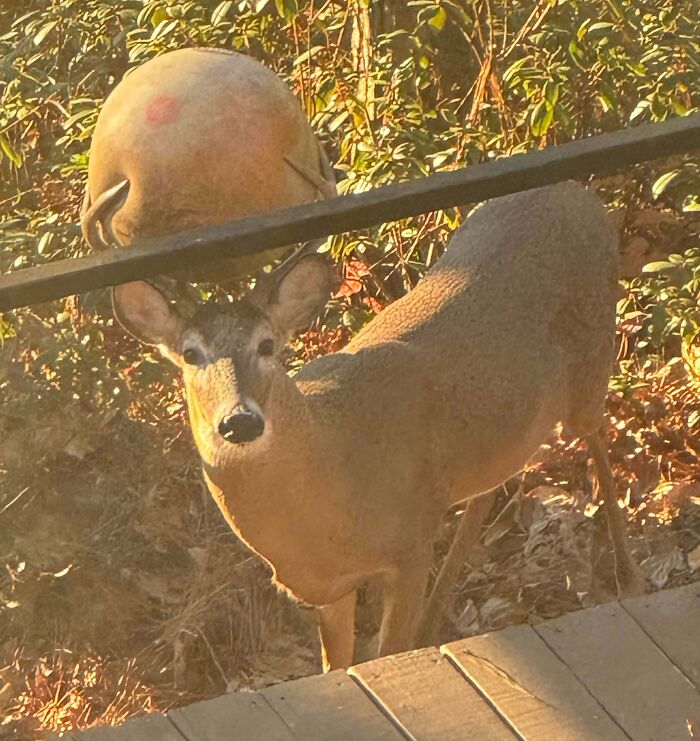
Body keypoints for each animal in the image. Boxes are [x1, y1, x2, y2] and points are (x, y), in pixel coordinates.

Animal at [93, 180, 647, 672]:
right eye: (191, 354)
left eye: (267, 345)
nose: (240, 422)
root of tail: (578, 193)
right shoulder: (329, 589)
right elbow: (335, 666)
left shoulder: (410, 545)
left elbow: (386, 656)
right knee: (498, 476)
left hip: (592, 358)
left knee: (597, 433)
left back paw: (628, 573)